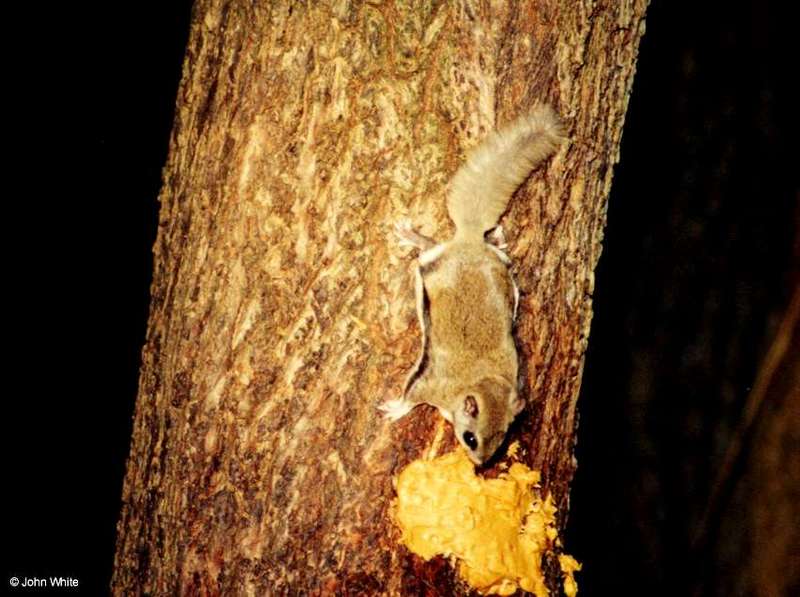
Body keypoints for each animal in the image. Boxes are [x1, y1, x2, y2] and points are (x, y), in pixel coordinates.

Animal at [380, 105, 564, 464]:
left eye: (503, 436)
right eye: (470, 437)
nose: (480, 465)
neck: (482, 379)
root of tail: (470, 241)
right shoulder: (430, 385)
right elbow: (411, 396)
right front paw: (396, 409)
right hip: (436, 265)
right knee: (427, 252)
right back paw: (413, 238)